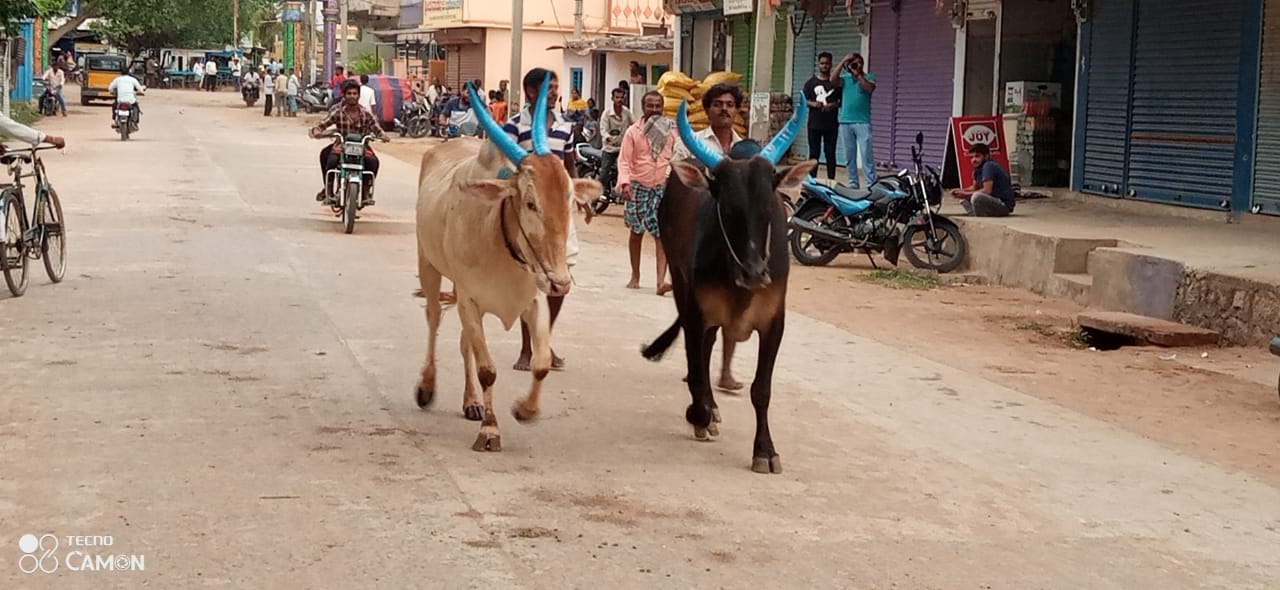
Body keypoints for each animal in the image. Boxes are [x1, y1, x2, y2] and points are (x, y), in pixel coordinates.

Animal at [414, 75, 604, 447]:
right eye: (530, 203)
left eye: (569, 199)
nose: (561, 281)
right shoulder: (470, 300)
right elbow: (488, 369)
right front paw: (490, 430)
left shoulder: (533, 299)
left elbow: (540, 363)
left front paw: (524, 410)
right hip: (428, 265)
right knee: (432, 321)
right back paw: (427, 386)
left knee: (464, 344)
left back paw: (471, 402)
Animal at [637, 99, 808, 470]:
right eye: (726, 209)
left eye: (768, 207)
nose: (755, 273)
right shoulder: (697, 312)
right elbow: (696, 367)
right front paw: (698, 415)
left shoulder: (774, 322)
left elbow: (762, 389)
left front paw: (765, 450)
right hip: (681, 283)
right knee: (699, 355)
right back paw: (705, 410)